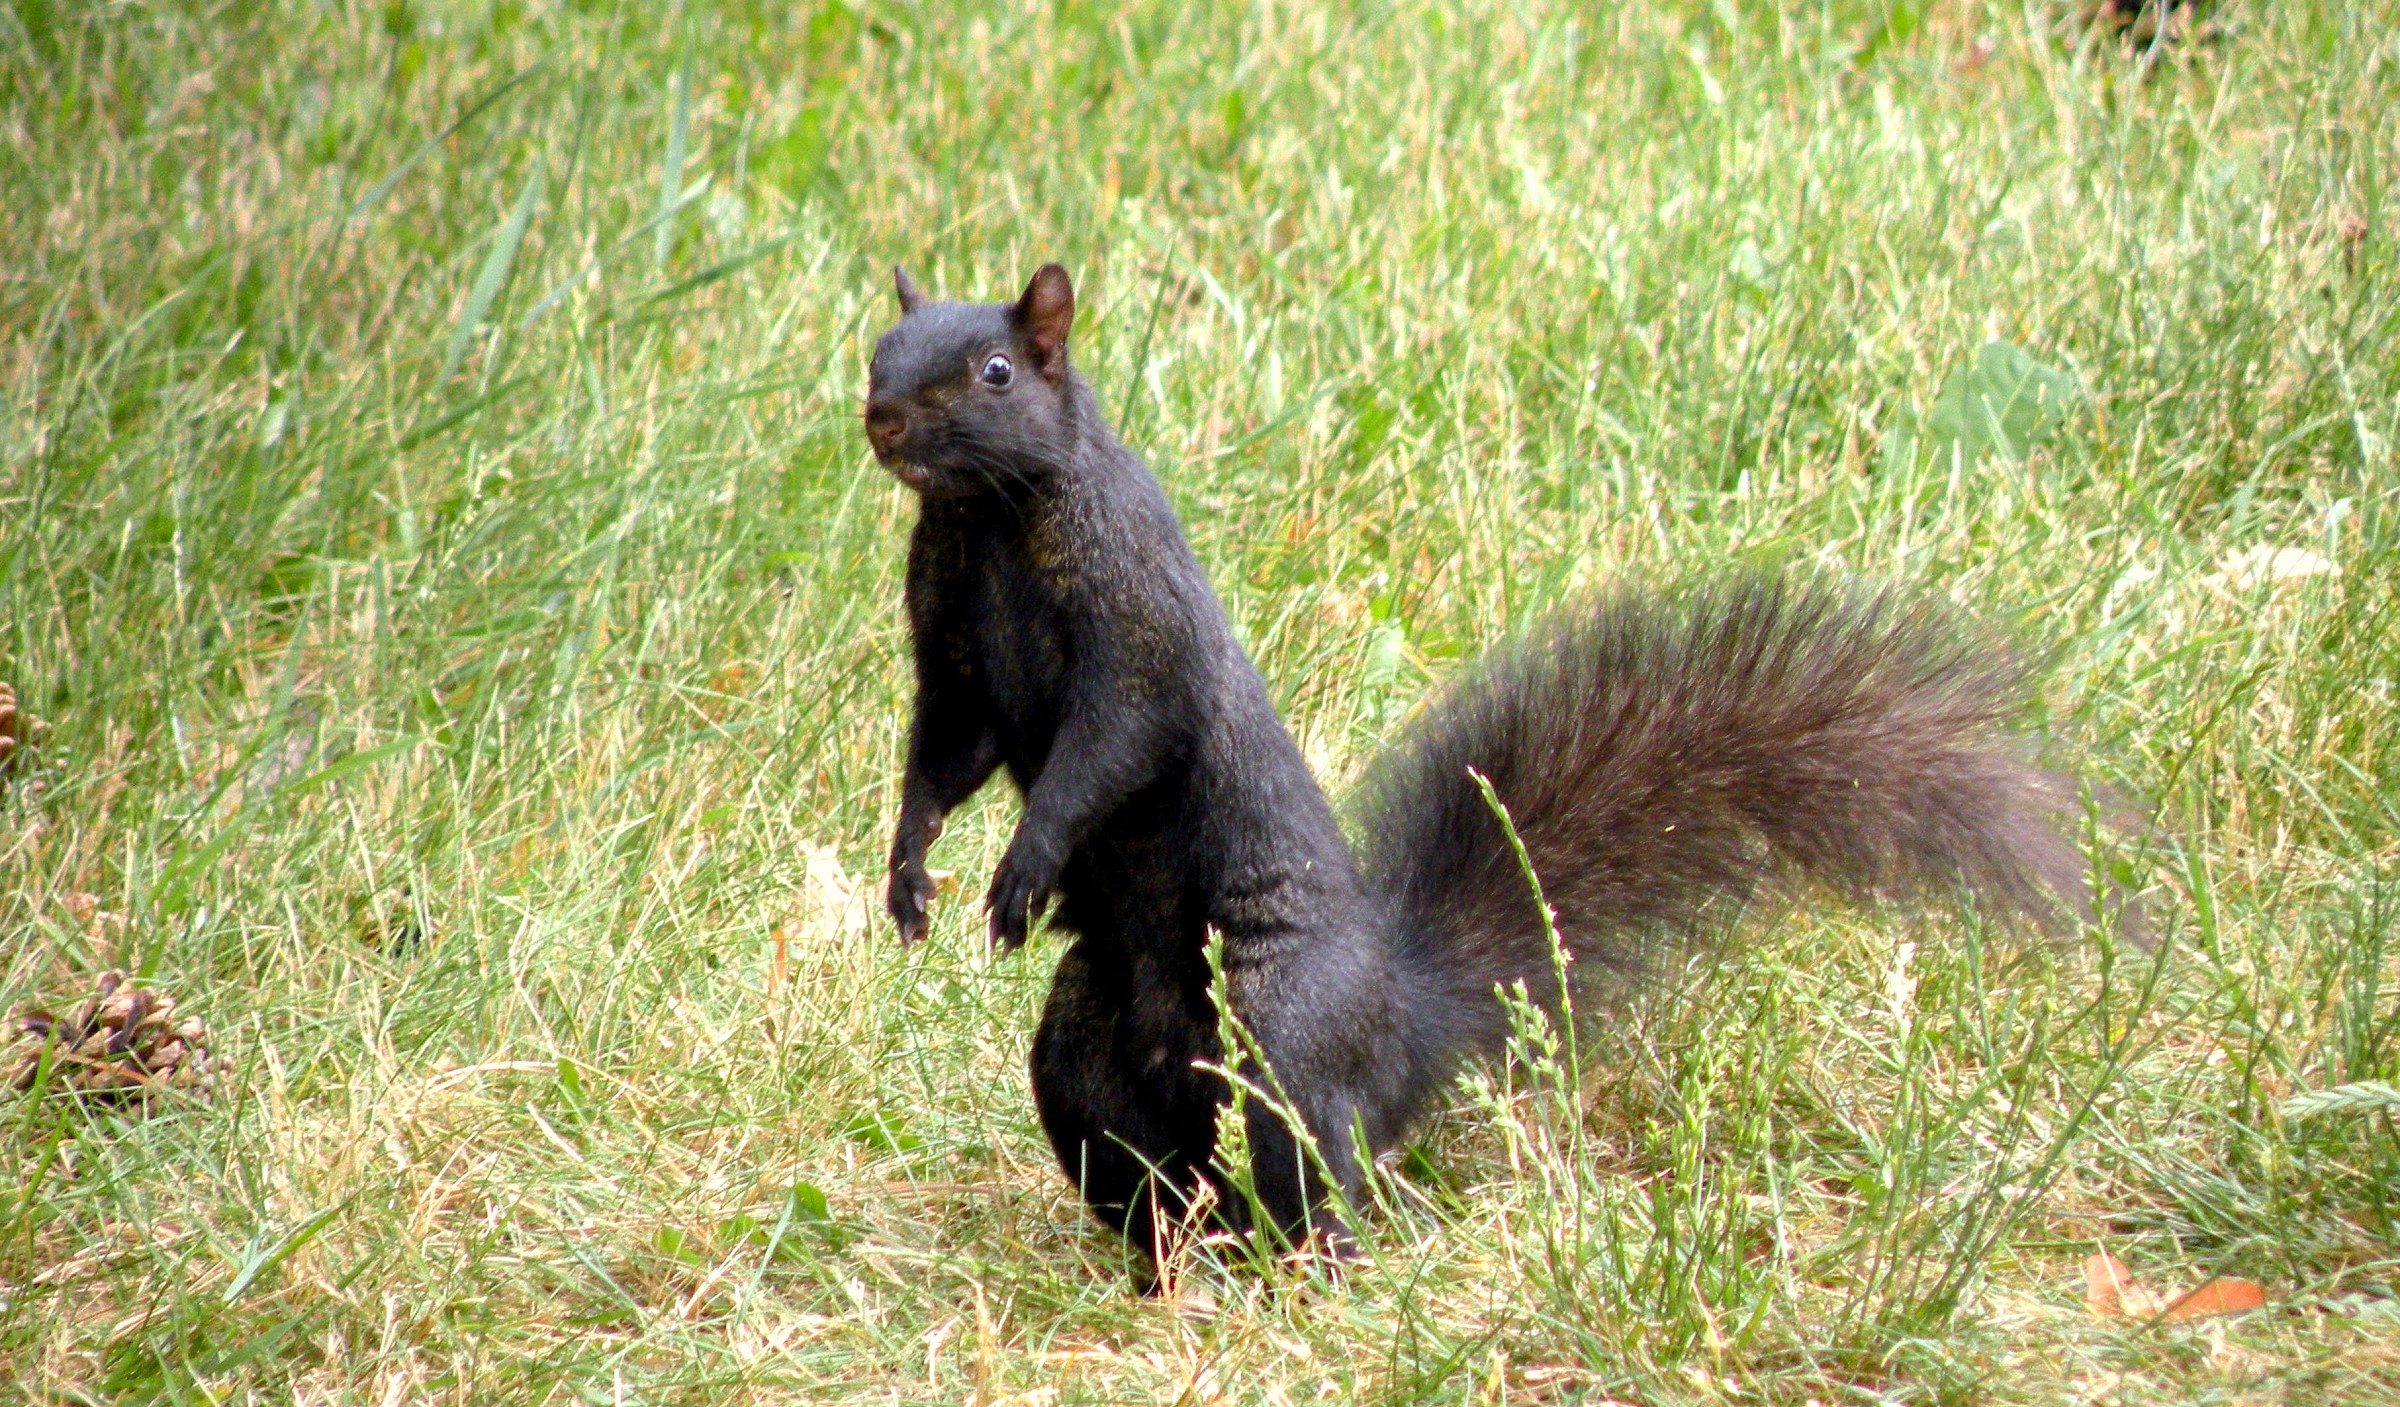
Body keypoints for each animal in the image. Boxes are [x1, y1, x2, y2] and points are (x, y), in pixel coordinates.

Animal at [863, 263, 2110, 1278]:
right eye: (879, 349)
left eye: (994, 373)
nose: (880, 418)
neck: (989, 520)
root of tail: (1402, 1033)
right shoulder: (955, 657)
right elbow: (946, 761)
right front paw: (908, 875)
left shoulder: (1135, 620)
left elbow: (1107, 746)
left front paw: (1022, 868)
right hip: (1090, 1051)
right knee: (1171, 1172)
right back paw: (1177, 1267)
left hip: (1285, 1012)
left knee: (1313, 1163)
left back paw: (1316, 1268)